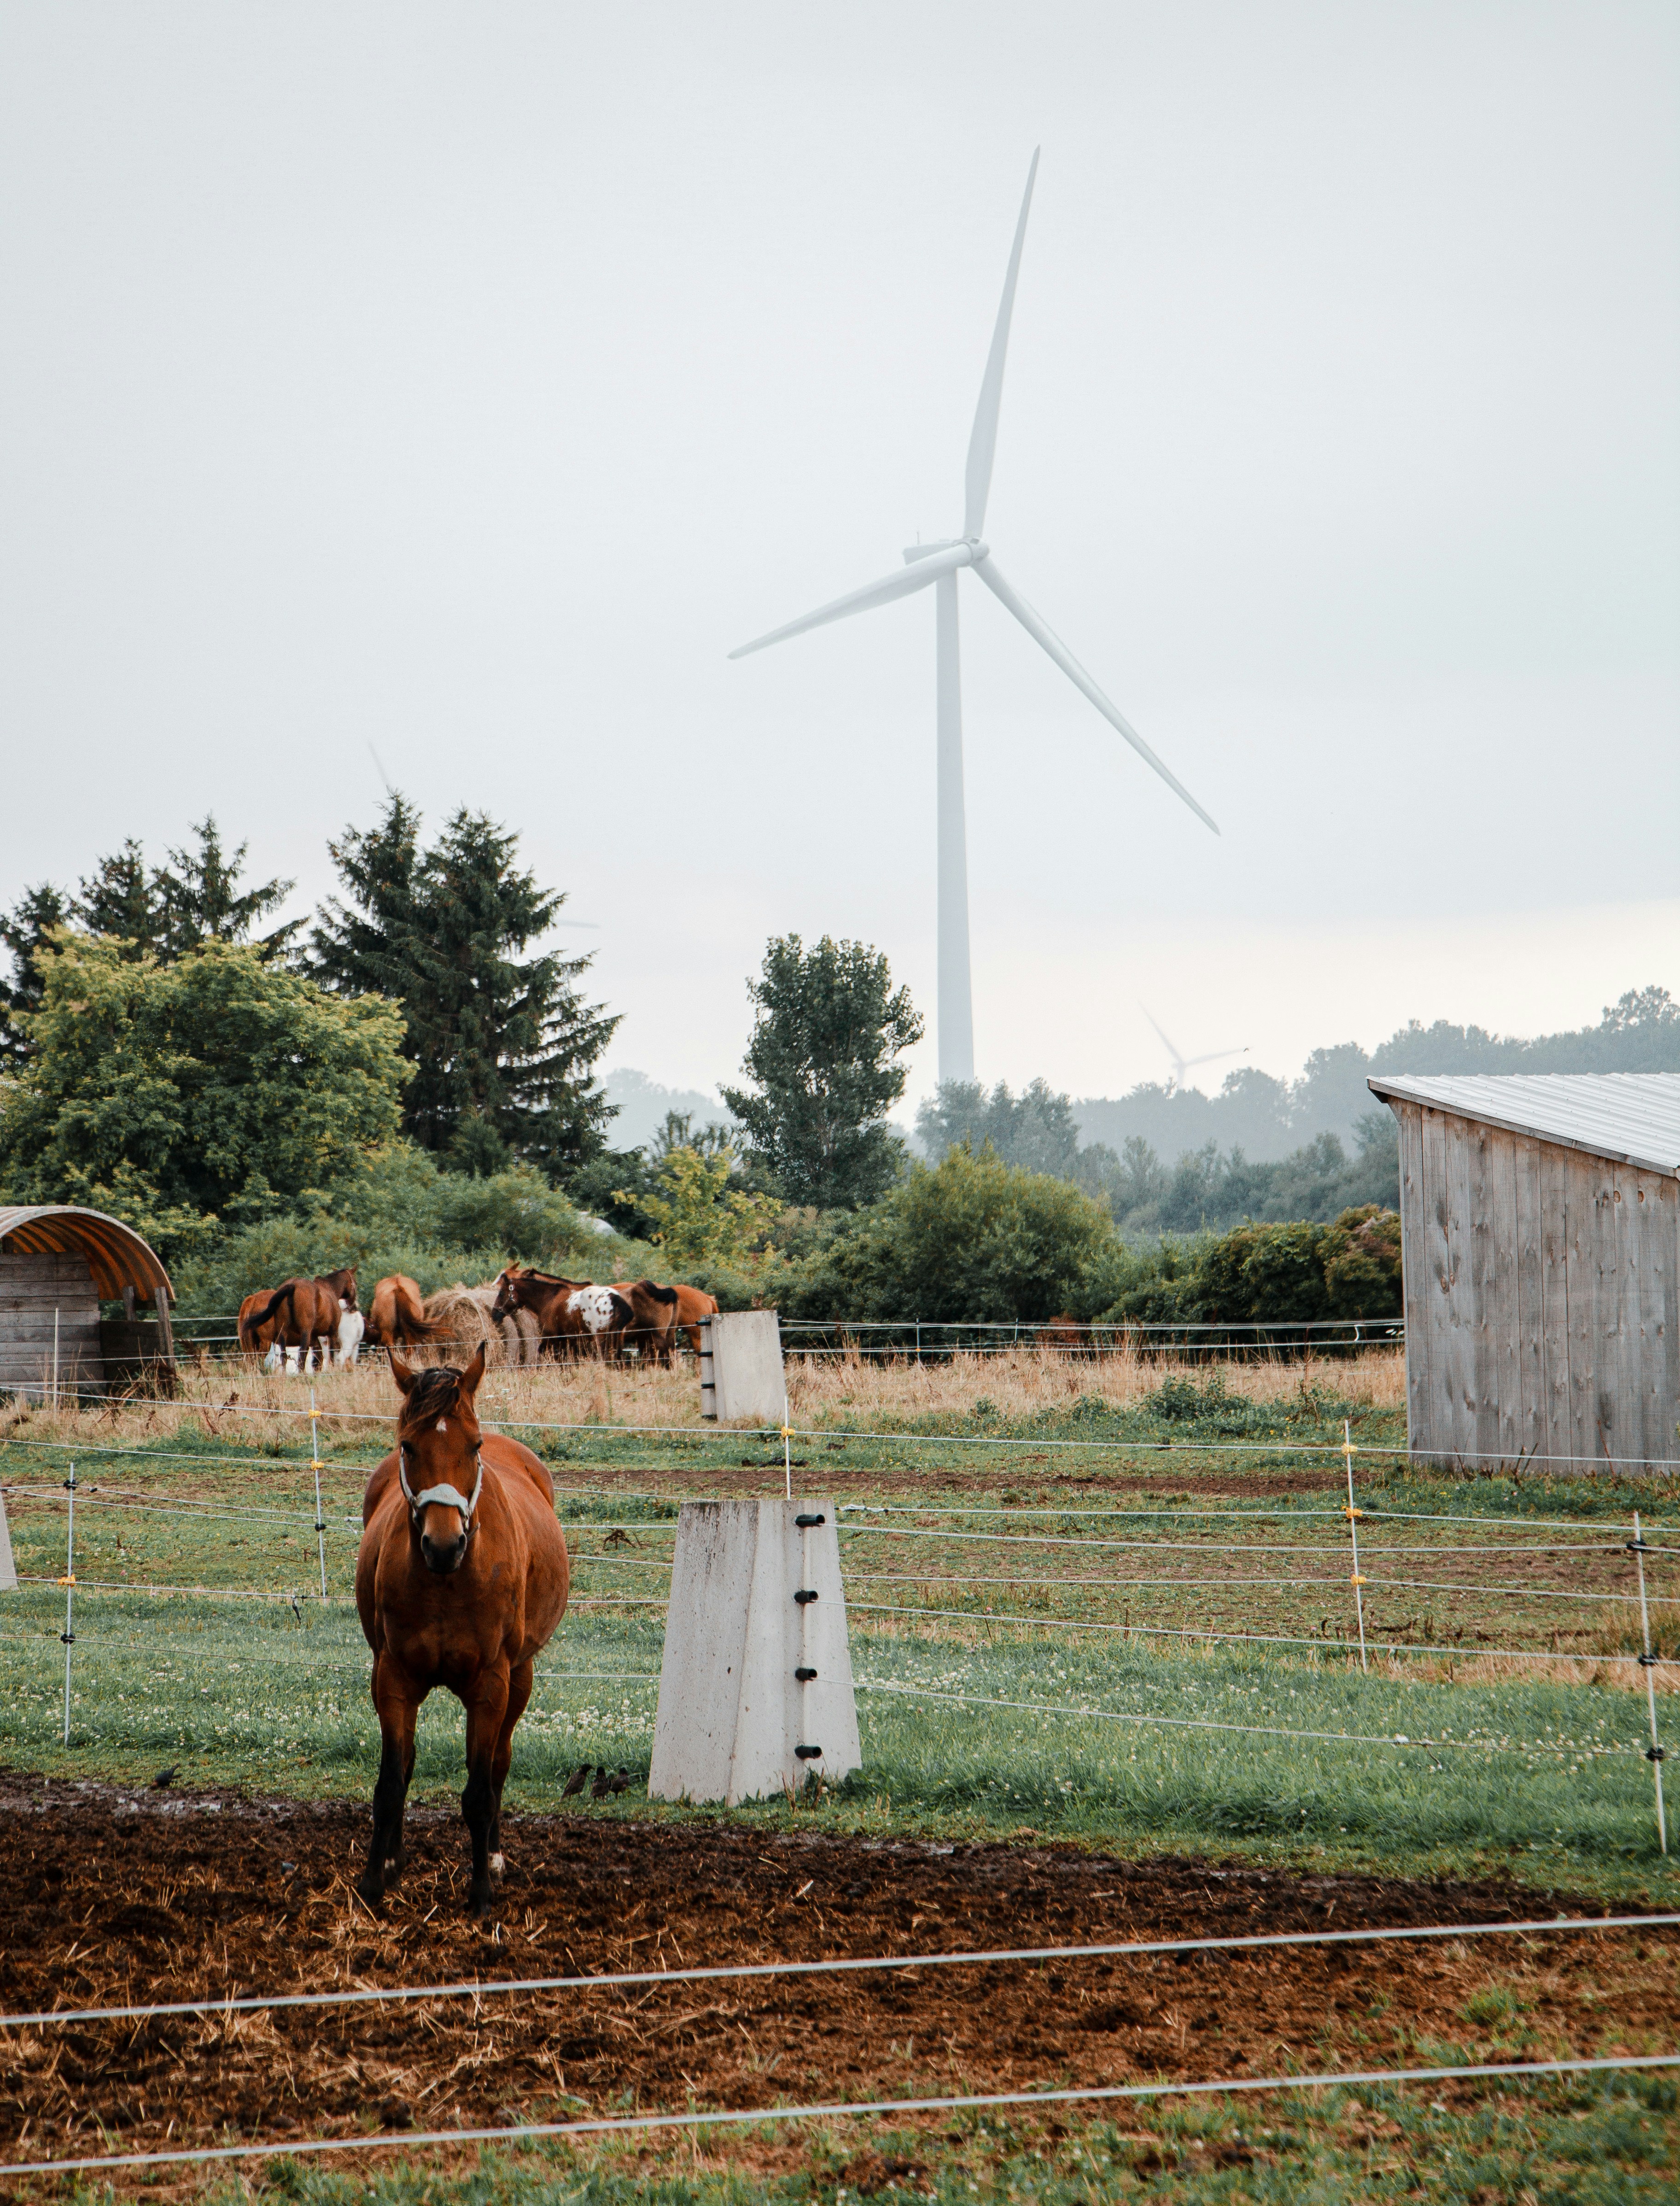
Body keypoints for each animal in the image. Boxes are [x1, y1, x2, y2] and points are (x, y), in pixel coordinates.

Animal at [245, 1268, 358, 1374]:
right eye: (355, 1283)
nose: (353, 1306)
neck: (330, 1289)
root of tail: (292, 1285)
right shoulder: (332, 1333)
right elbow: (331, 1355)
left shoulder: (314, 1337)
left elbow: (318, 1357)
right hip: (300, 1334)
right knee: (301, 1354)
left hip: (282, 1333)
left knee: (282, 1356)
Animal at [355, 1344, 569, 1917]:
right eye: (408, 1445)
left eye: (473, 1446)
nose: (444, 1544)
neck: (447, 1583)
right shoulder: (393, 1679)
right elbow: (392, 1782)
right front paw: (375, 1881)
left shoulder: (491, 1686)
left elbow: (479, 1789)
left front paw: (479, 1894)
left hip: (521, 1677)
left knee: (498, 1766)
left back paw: (492, 1858)